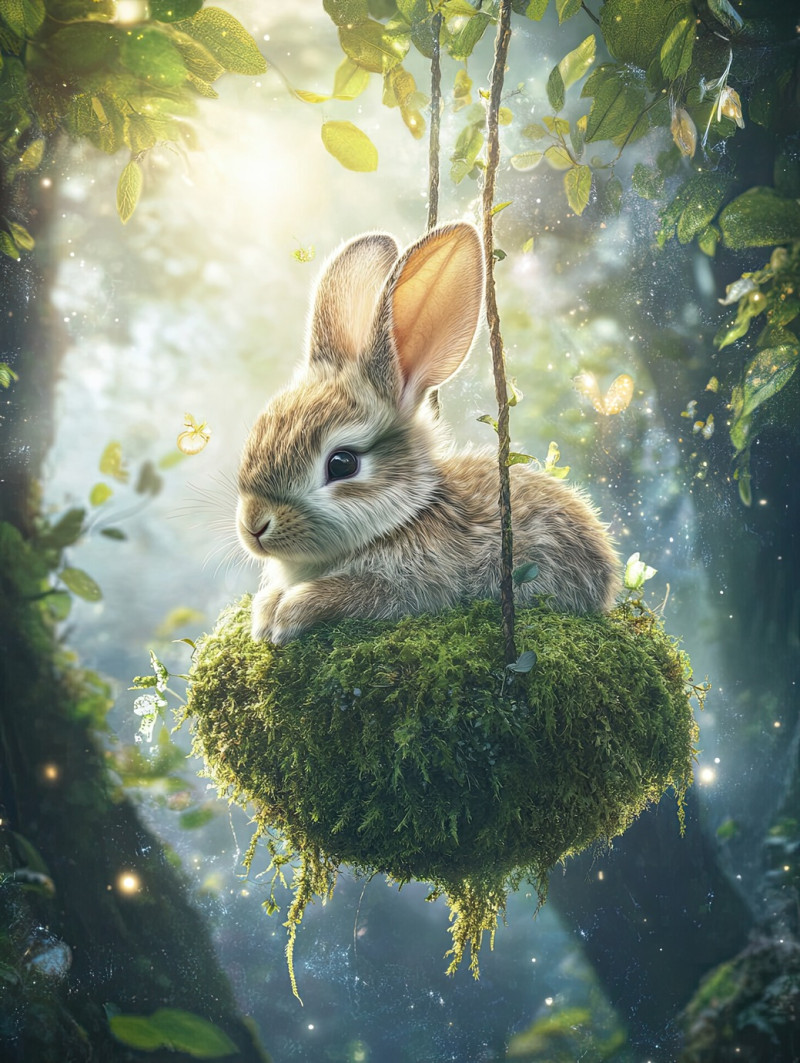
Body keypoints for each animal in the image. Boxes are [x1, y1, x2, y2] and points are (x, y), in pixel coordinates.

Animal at [236, 222, 619, 644]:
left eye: (342, 464)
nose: (254, 525)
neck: (404, 517)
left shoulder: (413, 585)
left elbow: (356, 593)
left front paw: (287, 614)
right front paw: (266, 610)